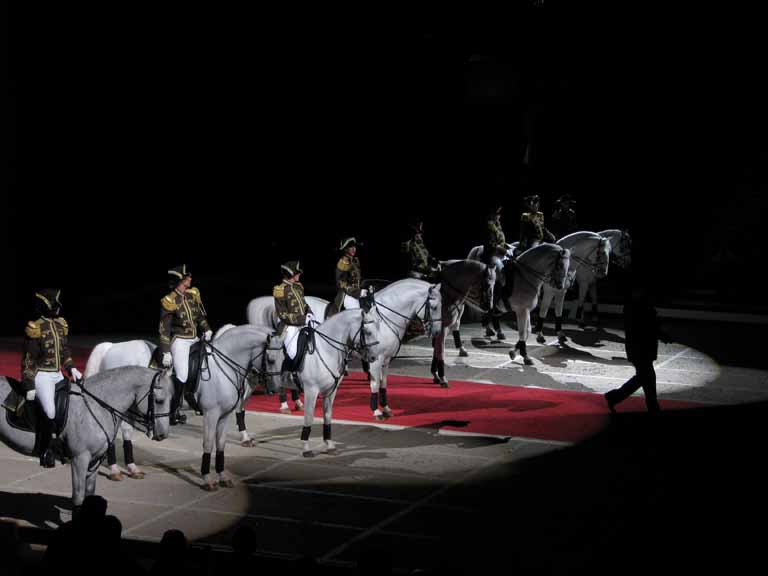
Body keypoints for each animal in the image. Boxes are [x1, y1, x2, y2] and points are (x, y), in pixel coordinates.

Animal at [0, 368, 171, 508]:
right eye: (159, 400)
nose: (163, 434)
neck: (98, 405)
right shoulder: (79, 459)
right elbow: (78, 497)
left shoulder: (94, 461)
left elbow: (89, 493)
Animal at [85, 326, 276, 488]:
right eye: (271, 359)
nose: (273, 389)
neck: (222, 367)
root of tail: (111, 347)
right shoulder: (211, 413)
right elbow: (208, 443)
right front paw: (207, 479)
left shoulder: (224, 415)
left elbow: (221, 444)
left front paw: (223, 476)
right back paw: (115, 471)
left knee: (126, 431)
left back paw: (132, 469)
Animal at [264, 306, 384, 454]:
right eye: (367, 332)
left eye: (378, 329)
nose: (374, 357)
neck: (326, 350)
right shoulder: (311, 390)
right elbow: (309, 417)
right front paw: (306, 448)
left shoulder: (331, 391)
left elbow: (327, 415)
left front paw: (330, 444)